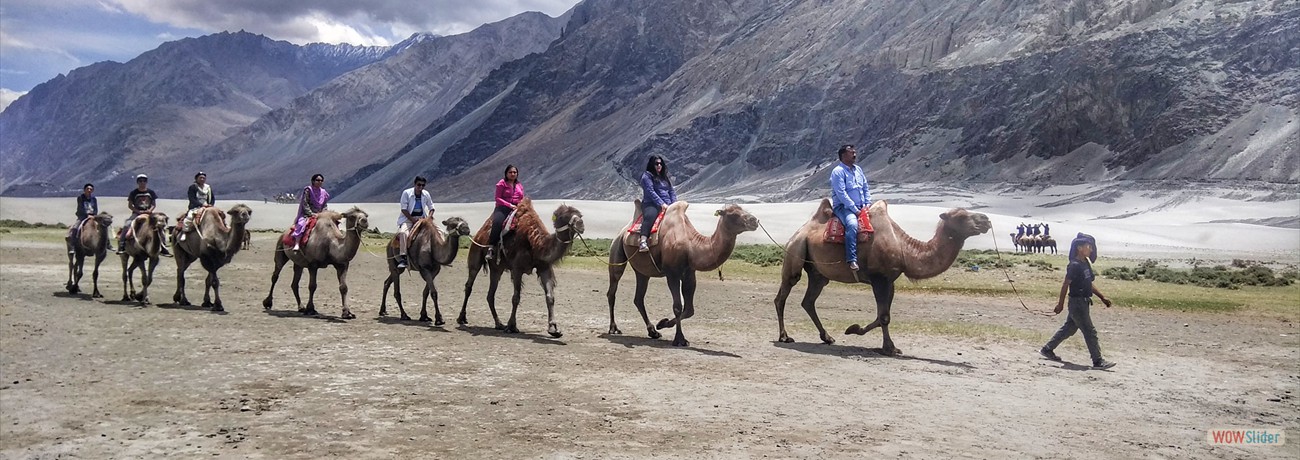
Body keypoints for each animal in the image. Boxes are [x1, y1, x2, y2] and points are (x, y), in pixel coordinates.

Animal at [454, 198, 582, 337]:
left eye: (580, 215)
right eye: (563, 216)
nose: (580, 224)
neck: (535, 243)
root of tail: (479, 233)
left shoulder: (544, 268)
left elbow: (550, 297)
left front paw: (554, 329)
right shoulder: (517, 269)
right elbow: (516, 297)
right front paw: (511, 326)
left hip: (497, 269)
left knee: (490, 294)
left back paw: (499, 324)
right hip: (475, 254)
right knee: (469, 286)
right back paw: (461, 318)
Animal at [608, 198, 759, 345]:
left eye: (743, 209)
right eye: (733, 214)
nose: (754, 220)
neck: (691, 246)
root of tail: (624, 230)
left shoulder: (689, 273)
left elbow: (689, 309)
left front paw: (662, 323)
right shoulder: (672, 273)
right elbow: (677, 307)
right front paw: (679, 339)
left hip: (643, 270)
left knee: (638, 298)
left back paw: (652, 332)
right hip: (616, 249)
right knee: (612, 290)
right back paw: (613, 328)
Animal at [774, 198, 987, 353]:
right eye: (961, 216)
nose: (986, 220)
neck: (904, 249)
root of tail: (799, 231)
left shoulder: (889, 281)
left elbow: (884, 315)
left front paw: (857, 331)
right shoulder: (878, 279)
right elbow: (884, 316)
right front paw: (887, 347)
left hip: (818, 273)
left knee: (808, 301)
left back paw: (827, 337)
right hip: (795, 251)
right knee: (783, 295)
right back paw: (784, 336)